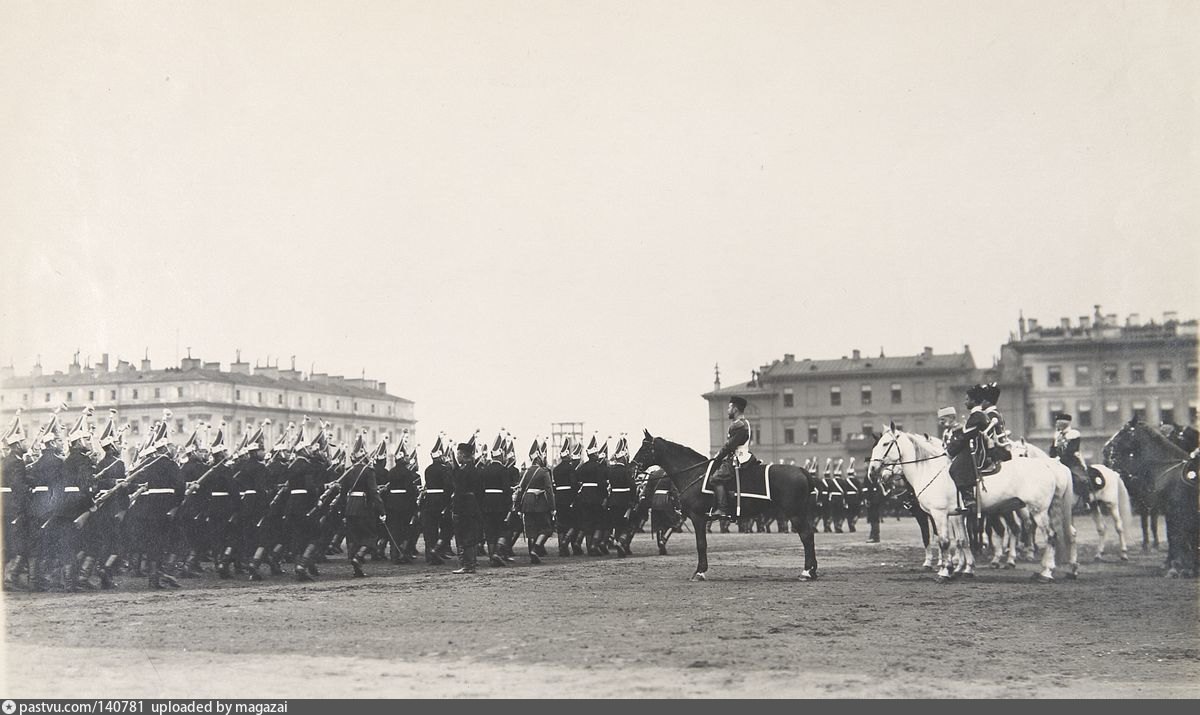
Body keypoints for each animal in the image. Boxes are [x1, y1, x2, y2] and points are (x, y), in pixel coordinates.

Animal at [628, 429, 816, 580]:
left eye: (644, 448)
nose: (632, 468)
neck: (695, 474)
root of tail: (801, 470)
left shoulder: (698, 517)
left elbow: (701, 544)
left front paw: (700, 572)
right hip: (800, 513)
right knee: (809, 535)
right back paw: (812, 571)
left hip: (795, 514)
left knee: (806, 536)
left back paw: (807, 572)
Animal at [868, 427, 1084, 583]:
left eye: (885, 443)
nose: (873, 471)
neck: (929, 469)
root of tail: (1051, 464)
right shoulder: (957, 515)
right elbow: (962, 541)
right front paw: (964, 569)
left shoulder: (939, 514)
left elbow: (945, 542)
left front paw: (945, 572)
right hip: (1053, 508)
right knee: (1070, 534)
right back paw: (1070, 570)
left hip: (1037, 510)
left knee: (1050, 536)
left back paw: (1045, 573)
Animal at [1104, 422, 1200, 578]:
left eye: (1123, 432)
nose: (1106, 448)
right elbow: (1177, 537)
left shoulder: (1176, 513)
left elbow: (1176, 537)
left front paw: (1176, 567)